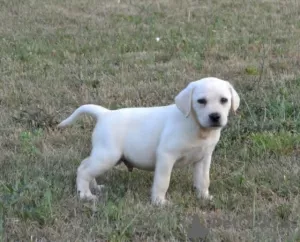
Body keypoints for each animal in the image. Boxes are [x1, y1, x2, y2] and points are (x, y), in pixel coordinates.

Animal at [58, 77, 240, 204]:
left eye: (224, 100)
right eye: (201, 101)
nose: (215, 116)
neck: (196, 127)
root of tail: (105, 114)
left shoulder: (203, 158)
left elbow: (203, 180)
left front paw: (204, 197)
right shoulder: (166, 156)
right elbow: (162, 181)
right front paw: (159, 202)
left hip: (104, 155)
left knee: (85, 165)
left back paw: (95, 187)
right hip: (107, 156)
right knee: (83, 170)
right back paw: (86, 195)